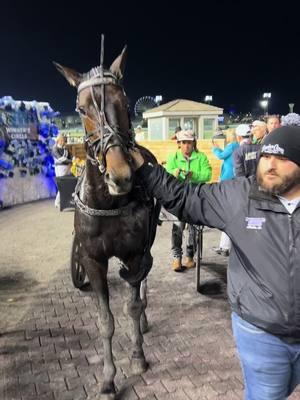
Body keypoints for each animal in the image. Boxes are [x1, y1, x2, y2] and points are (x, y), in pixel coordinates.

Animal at [54, 38, 161, 400]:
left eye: (125, 102)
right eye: (81, 109)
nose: (121, 176)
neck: (108, 200)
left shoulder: (135, 253)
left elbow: (131, 305)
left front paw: (138, 355)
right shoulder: (92, 259)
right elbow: (106, 320)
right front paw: (108, 378)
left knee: (142, 284)